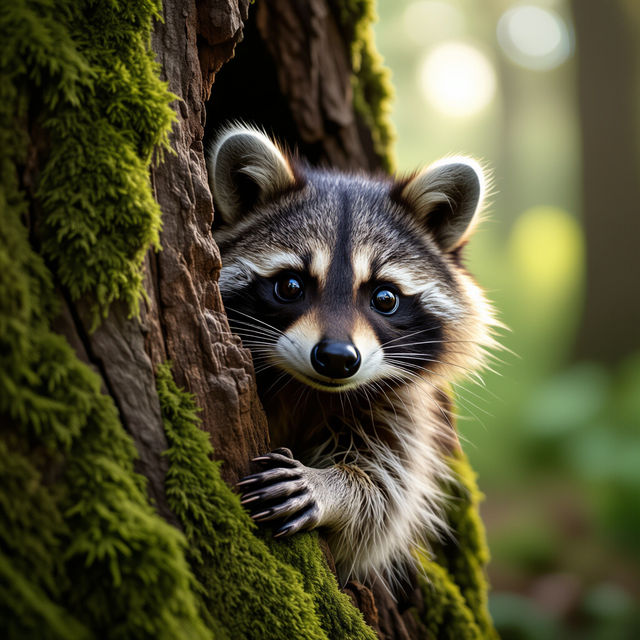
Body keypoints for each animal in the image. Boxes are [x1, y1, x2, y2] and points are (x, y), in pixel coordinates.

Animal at [207, 124, 497, 585]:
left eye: (385, 298)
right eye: (290, 286)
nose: (338, 358)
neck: (306, 388)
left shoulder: (401, 406)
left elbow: (383, 499)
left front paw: (332, 489)